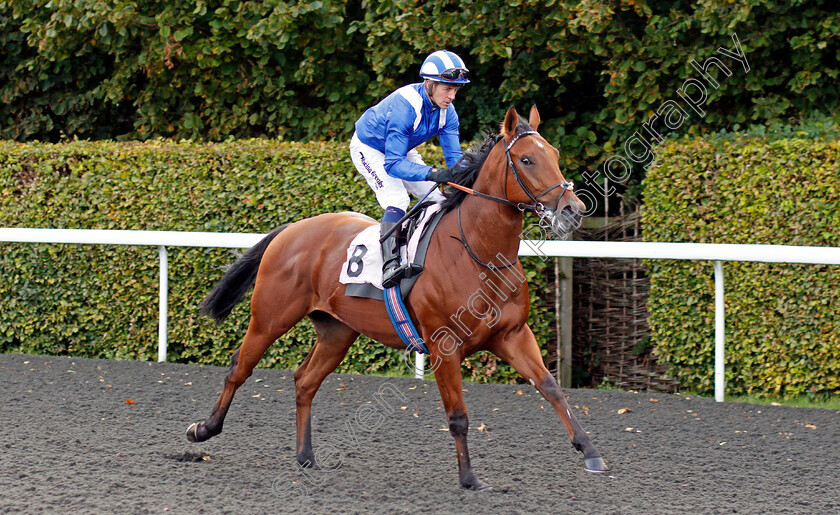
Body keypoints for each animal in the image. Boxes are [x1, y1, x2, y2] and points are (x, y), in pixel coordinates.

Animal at [189, 107, 608, 490]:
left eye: (553, 152)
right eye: (526, 159)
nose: (573, 211)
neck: (479, 252)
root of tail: (293, 228)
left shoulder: (512, 335)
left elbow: (551, 387)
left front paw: (590, 452)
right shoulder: (444, 345)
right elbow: (458, 416)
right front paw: (469, 478)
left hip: (337, 332)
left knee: (305, 381)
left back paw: (306, 456)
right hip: (269, 317)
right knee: (239, 368)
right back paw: (203, 429)